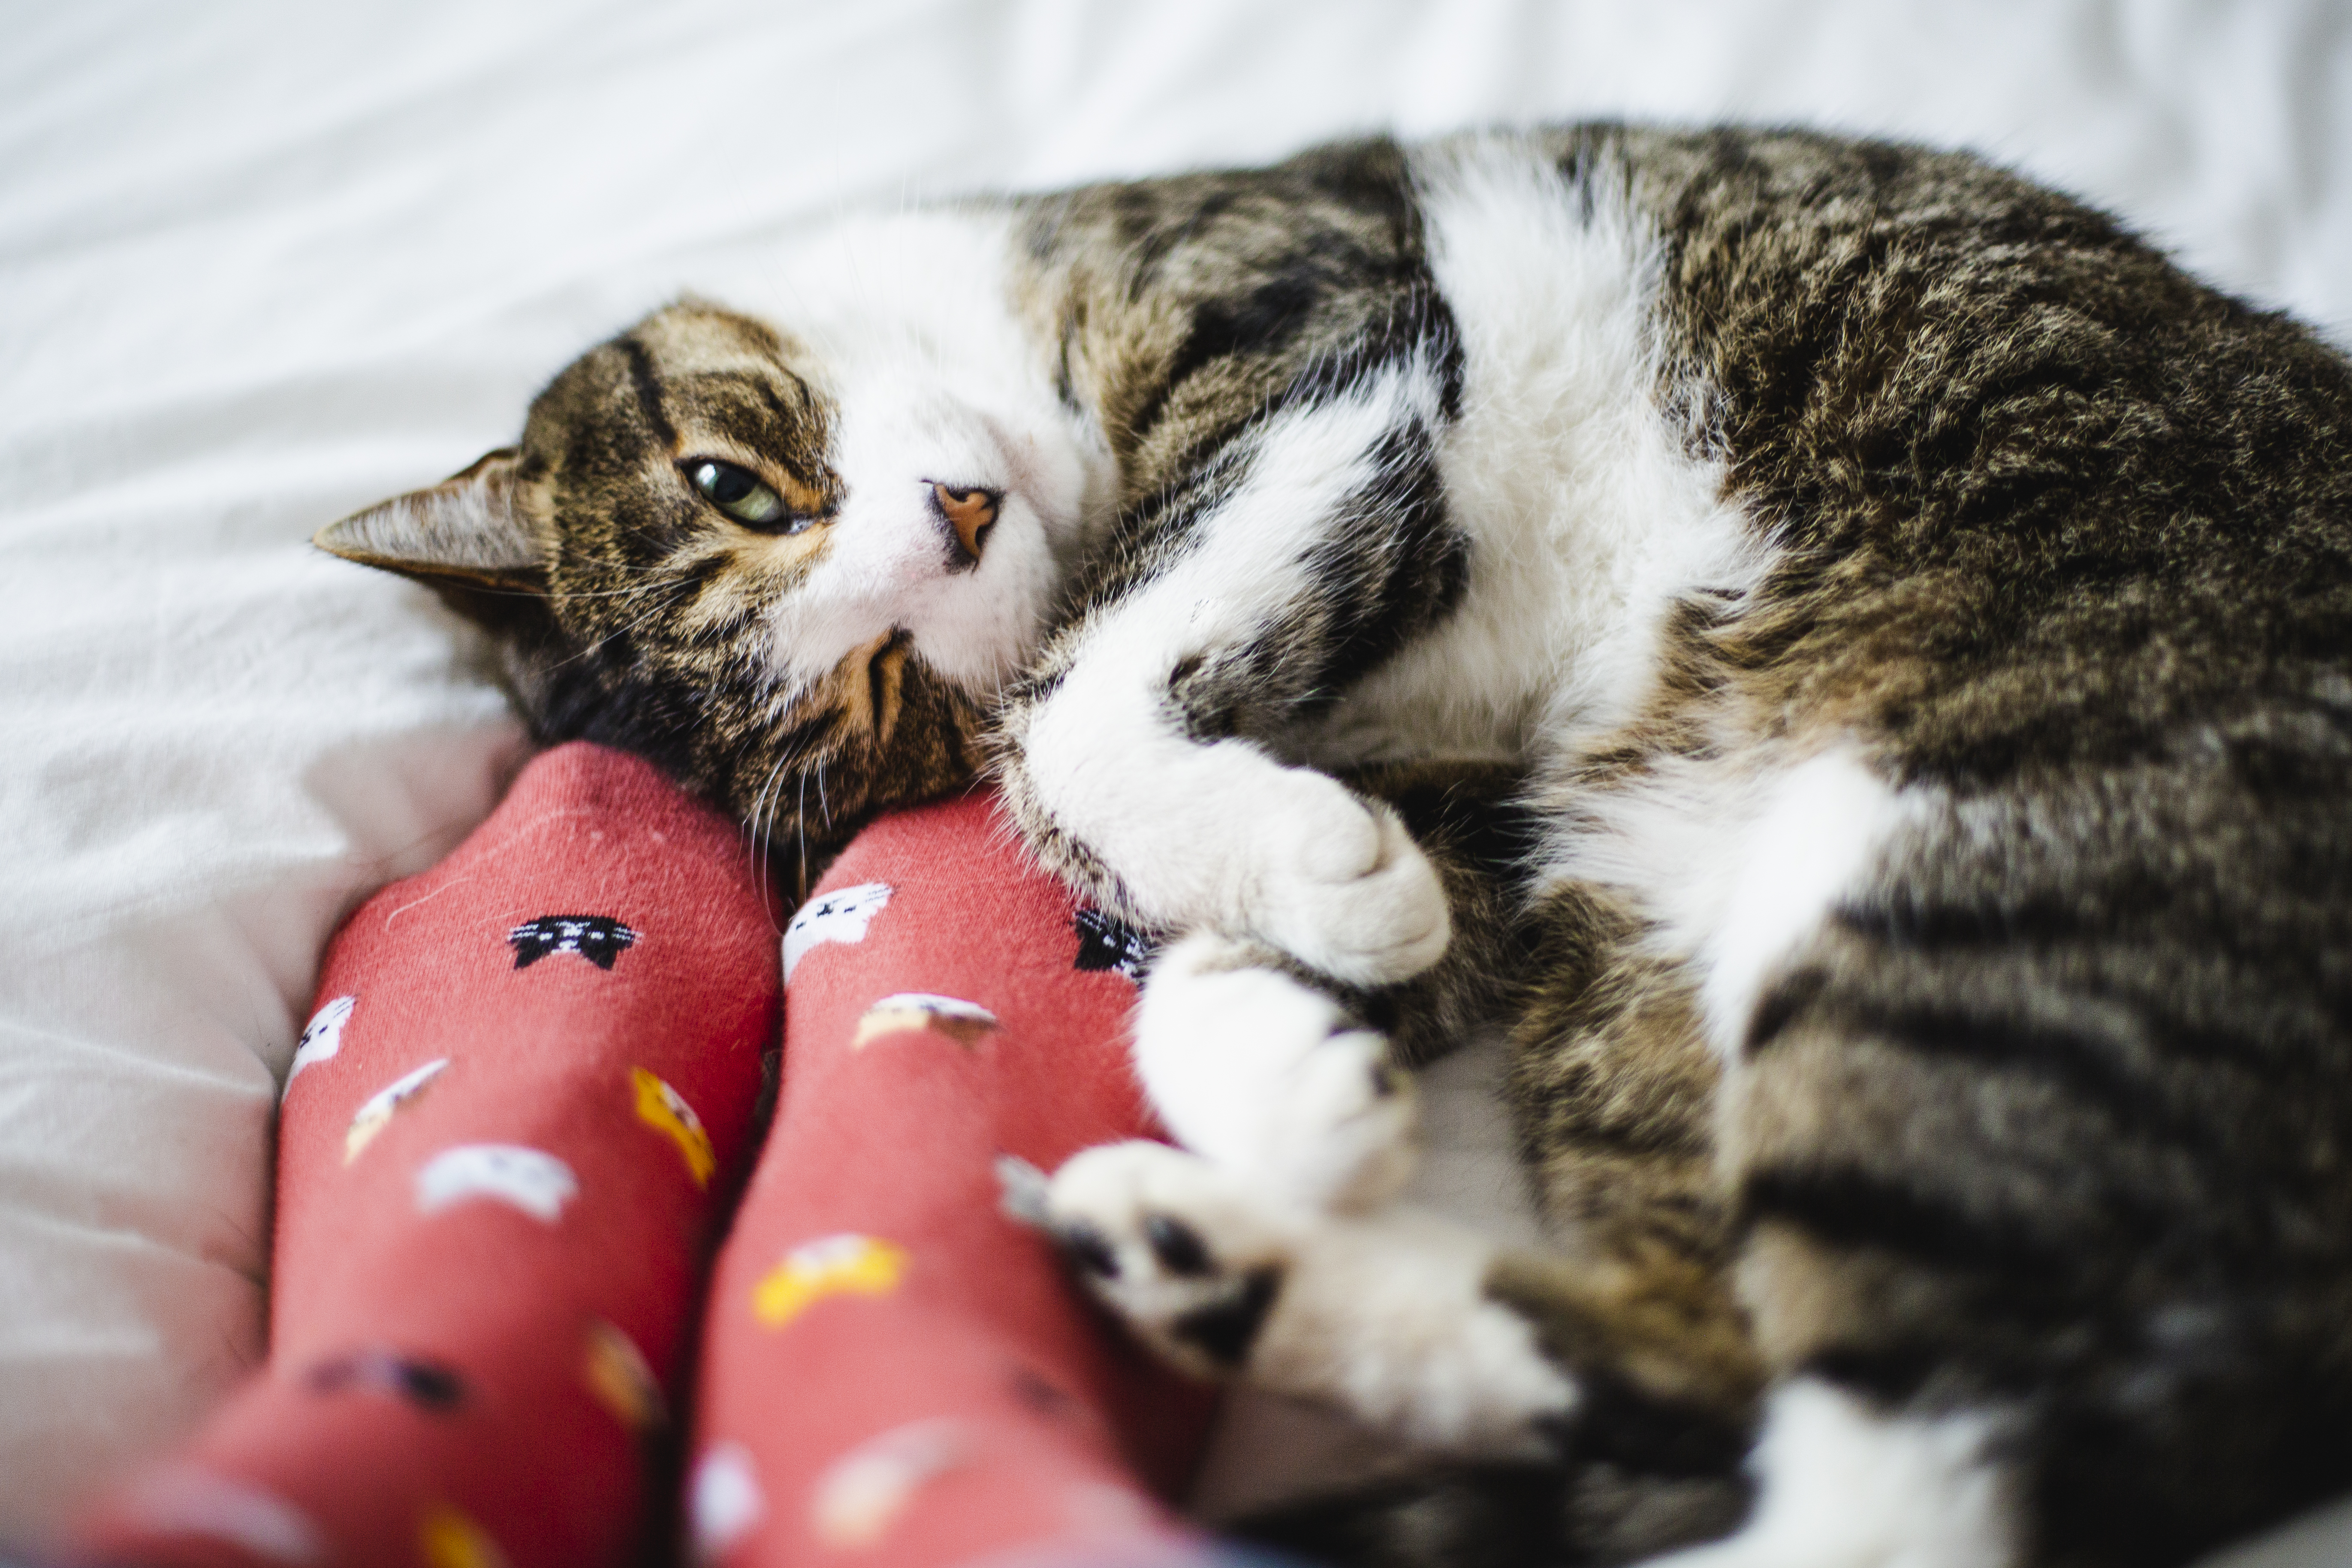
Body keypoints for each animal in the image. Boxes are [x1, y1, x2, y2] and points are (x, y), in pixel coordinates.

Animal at [317, 126, 2352, 1568]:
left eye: (741, 483)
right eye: (879, 693)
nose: (956, 523)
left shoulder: (1317, 334)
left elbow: (1084, 691)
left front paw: (1275, 910)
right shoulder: (1501, 787)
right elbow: (1308, 869)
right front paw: (1286, 1030)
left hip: (1975, 859)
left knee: (1902, 1492)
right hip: (1641, 917)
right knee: (1713, 1359)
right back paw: (1203, 1253)